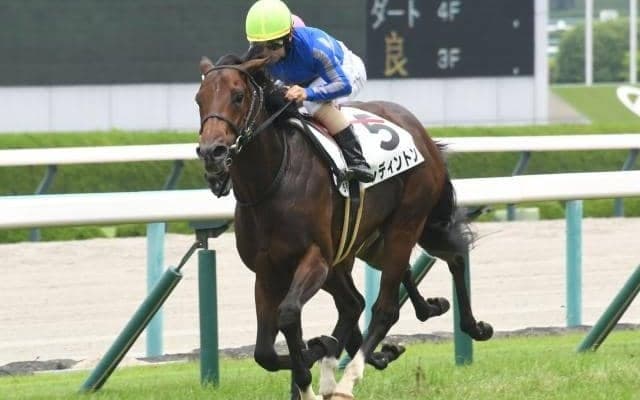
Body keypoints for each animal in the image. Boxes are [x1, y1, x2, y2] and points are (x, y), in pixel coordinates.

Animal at [195, 53, 493, 400]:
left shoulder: (316, 258)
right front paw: (319, 358)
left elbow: (289, 313)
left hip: (406, 224)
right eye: (199, 99)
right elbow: (265, 352)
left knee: (386, 306)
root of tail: (421, 133)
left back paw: (349, 377)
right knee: (363, 299)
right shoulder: (268, 271)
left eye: (238, 96)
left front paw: (313, 367)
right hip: (365, 244)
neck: (272, 182)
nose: (212, 153)